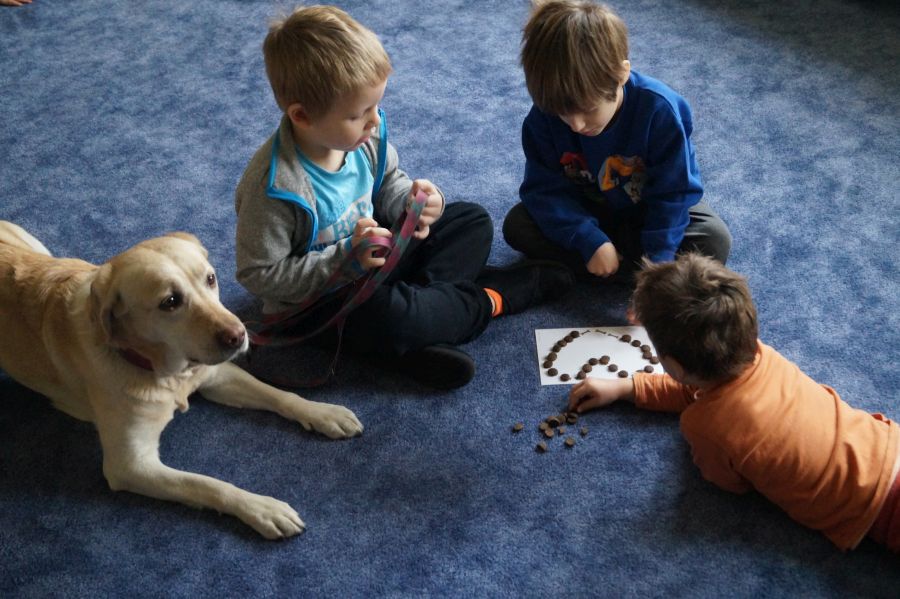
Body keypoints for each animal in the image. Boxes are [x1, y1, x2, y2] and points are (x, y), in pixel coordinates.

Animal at [0, 221, 363, 539]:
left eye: (211, 278)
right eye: (170, 302)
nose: (238, 335)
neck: (167, 374)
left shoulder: (218, 375)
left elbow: (280, 395)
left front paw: (324, 412)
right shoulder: (131, 465)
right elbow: (205, 483)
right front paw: (262, 508)